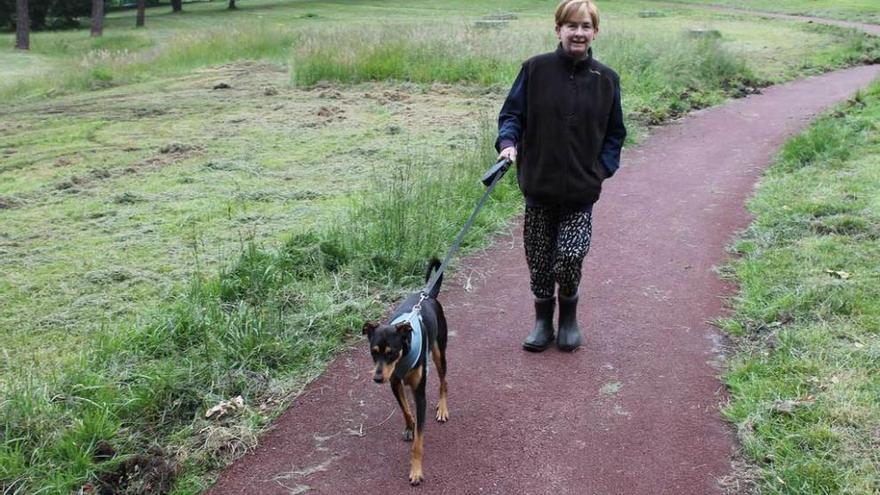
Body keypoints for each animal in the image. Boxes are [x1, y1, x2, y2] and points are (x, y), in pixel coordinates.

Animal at [360, 260, 450, 488]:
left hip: (439, 352)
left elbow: (418, 442)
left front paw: (416, 471)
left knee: (444, 381)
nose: (377, 378)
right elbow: (405, 410)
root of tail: (427, 295)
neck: (403, 357)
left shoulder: (420, 394)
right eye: (373, 352)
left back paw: (443, 408)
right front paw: (410, 427)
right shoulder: (394, 382)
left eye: (391, 353)